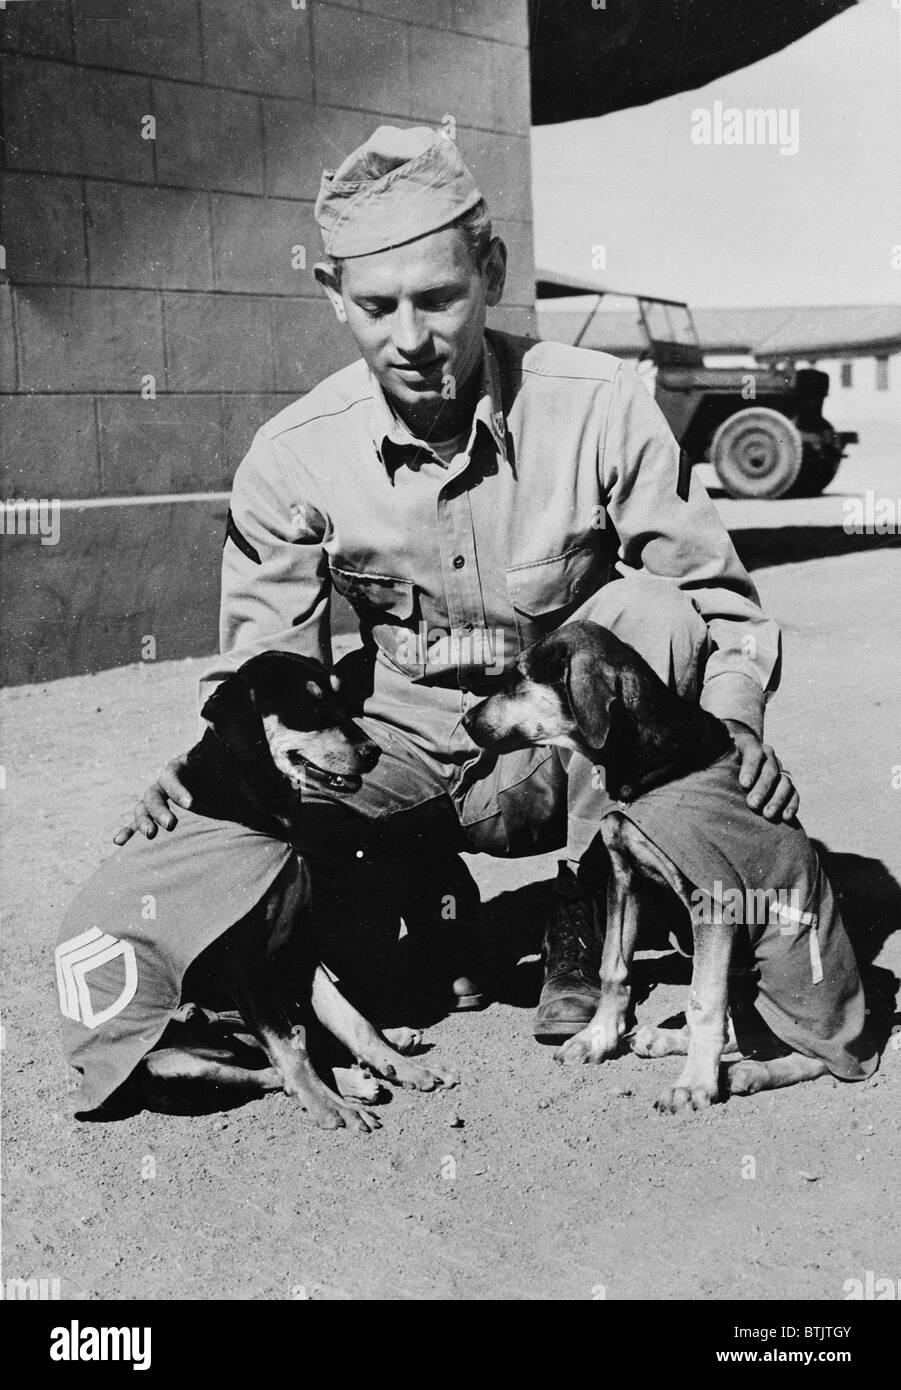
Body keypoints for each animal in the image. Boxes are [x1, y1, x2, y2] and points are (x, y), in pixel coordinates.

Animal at [56, 650, 458, 1128]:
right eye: (307, 708)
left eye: (342, 700)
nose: (372, 752)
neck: (248, 800)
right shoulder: (242, 965)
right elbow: (289, 1054)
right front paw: (329, 1107)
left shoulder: (296, 945)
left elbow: (349, 1018)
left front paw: (401, 1067)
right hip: (170, 1063)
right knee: (266, 1070)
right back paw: (348, 1089)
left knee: (295, 1043)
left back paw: (387, 1053)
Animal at [464, 625, 873, 1112]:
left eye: (520, 678)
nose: (465, 721)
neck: (652, 765)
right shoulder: (625, 878)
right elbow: (614, 969)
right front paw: (597, 1038)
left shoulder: (712, 905)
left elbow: (703, 1004)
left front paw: (694, 1084)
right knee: (743, 1032)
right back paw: (666, 1041)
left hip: (780, 977)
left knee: (817, 1056)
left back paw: (749, 1073)